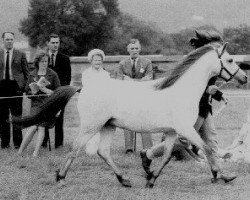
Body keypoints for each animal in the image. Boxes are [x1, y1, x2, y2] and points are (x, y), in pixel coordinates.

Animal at [53, 42, 247, 188]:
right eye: (230, 59)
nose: (244, 77)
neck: (183, 91)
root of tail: (83, 87)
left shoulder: (172, 132)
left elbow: (167, 156)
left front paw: (151, 179)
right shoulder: (186, 129)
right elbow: (207, 149)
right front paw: (220, 175)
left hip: (108, 126)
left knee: (103, 151)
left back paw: (124, 180)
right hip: (91, 126)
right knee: (75, 149)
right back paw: (61, 178)